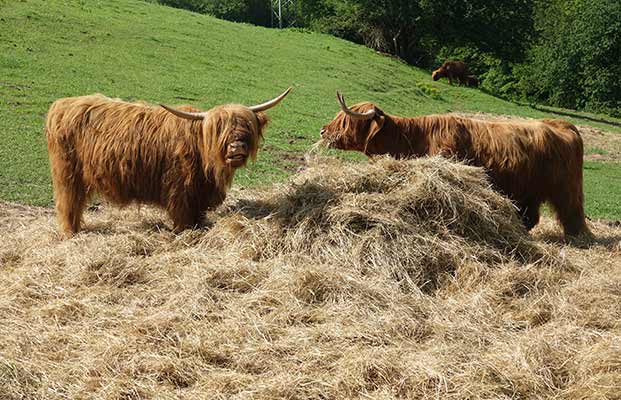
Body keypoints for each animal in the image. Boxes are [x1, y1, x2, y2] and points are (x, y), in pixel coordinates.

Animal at [44, 88, 292, 238]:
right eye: (218, 129)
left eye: (247, 127)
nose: (237, 147)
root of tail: (62, 104)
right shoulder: (180, 191)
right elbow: (182, 220)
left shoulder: (199, 195)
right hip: (67, 174)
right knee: (68, 203)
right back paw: (71, 233)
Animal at [320, 92, 592, 239]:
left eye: (345, 121)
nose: (323, 130)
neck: (414, 138)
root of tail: (565, 125)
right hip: (529, 191)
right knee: (531, 217)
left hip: (566, 188)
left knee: (571, 212)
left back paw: (577, 237)